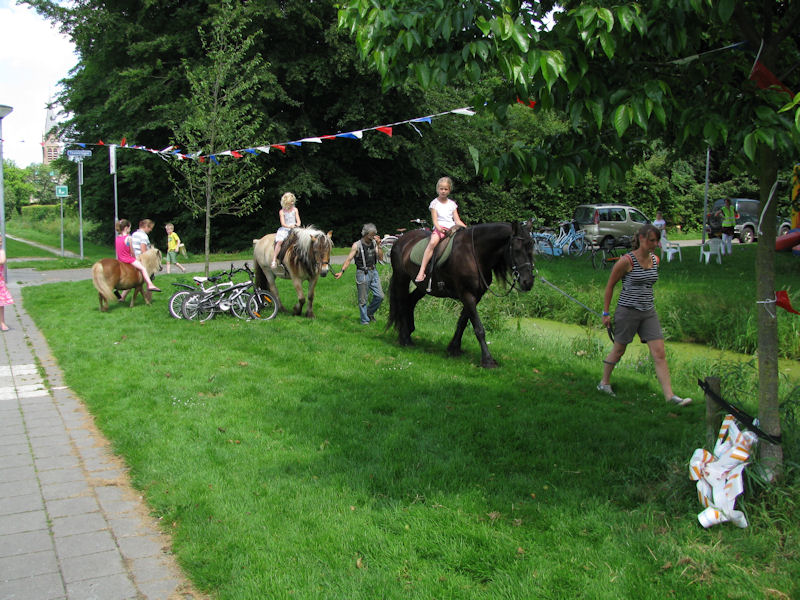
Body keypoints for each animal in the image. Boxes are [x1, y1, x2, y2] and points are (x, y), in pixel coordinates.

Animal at [387, 221, 535, 368]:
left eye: (532, 248)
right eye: (517, 250)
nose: (528, 282)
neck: (474, 255)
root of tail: (401, 240)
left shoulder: (475, 296)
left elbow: (462, 322)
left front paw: (454, 348)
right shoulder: (467, 295)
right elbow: (478, 328)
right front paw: (487, 360)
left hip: (423, 286)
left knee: (410, 301)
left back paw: (409, 332)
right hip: (402, 279)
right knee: (402, 303)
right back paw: (405, 338)